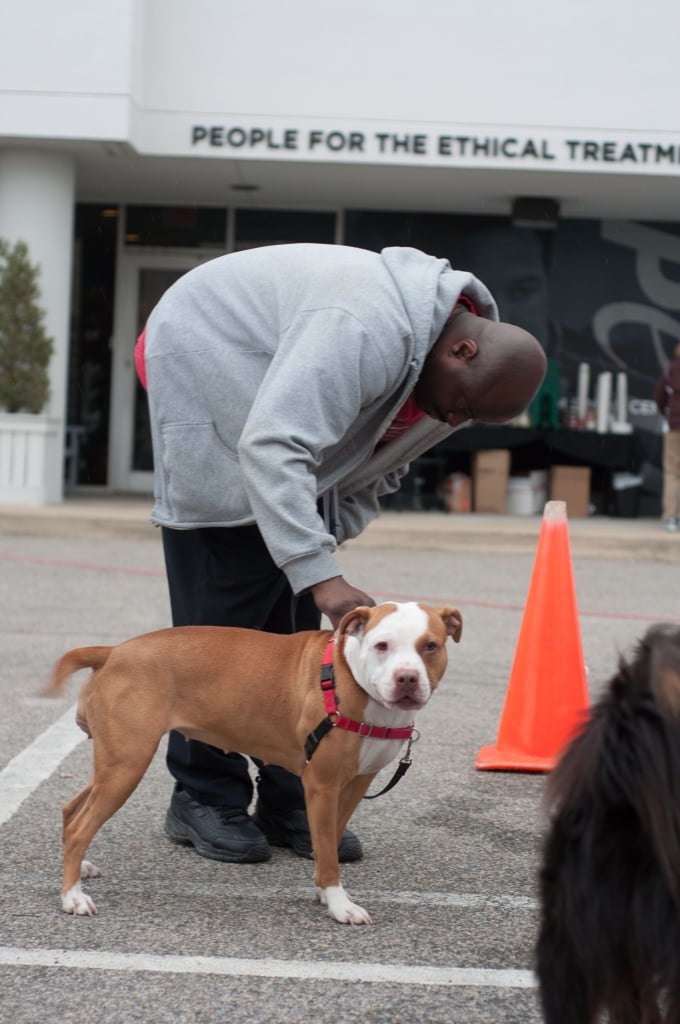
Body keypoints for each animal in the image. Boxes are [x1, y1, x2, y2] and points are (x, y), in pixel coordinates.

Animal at [43, 598, 462, 929]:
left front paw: (325, 893)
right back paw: (72, 897)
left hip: (114, 761)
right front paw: (339, 903)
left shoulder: (354, 784)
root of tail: (114, 651)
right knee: (80, 827)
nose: (407, 678)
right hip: (128, 764)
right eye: (381, 645)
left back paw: (79, 868)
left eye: (430, 646)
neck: (350, 679)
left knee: (70, 809)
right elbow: (327, 853)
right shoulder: (321, 785)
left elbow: (328, 841)